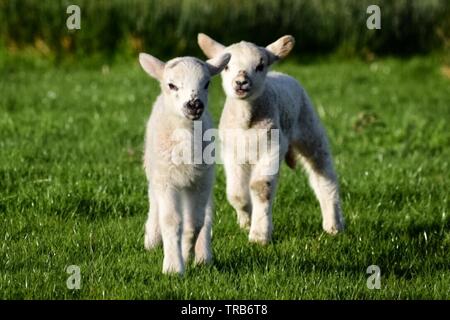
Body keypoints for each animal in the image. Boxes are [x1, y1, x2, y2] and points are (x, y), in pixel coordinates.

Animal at [140, 51, 232, 274]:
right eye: (171, 85)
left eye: (207, 83)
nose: (194, 105)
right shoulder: (166, 179)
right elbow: (171, 220)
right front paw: (173, 267)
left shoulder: (200, 181)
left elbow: (195, 223)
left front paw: (185, 252)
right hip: (156, 171)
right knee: (155, 203)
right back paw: (152, 238)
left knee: (206, 216)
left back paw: (203, 256)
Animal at [197, 33, 344, 244]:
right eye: (226, 66)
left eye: (260, 66)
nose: (241, 82)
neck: (246, 123)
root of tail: (281, 74)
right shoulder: (231, 153)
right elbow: (237, 194)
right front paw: (246, 222)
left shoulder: (272, 147)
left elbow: (261, 187)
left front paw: (259, 235)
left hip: (309, 128)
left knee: (324, 176)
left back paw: (333, 225)